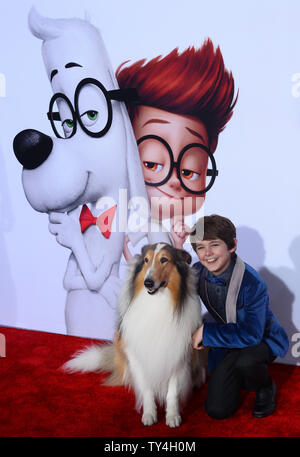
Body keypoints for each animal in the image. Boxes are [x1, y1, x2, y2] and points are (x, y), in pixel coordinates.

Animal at [63, 244, 206, 426]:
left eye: (164, 259)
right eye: (146, 260)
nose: (148, 282)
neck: (157, 303)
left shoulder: (178, 353)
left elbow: (172, 392)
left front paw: (173, 416)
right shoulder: (137, 354)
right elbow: (146, 388)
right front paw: (149, 414)